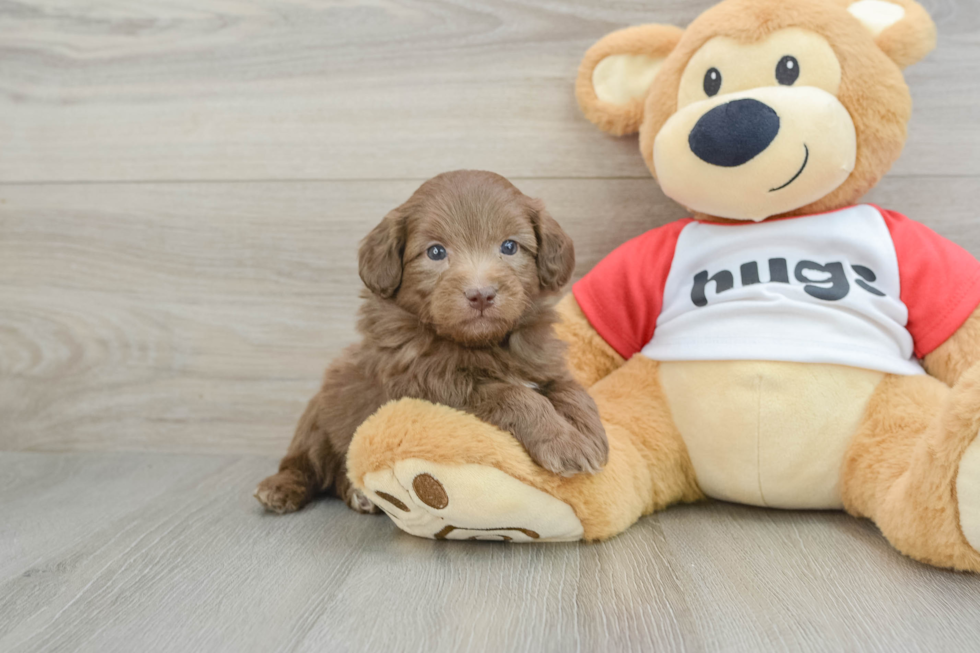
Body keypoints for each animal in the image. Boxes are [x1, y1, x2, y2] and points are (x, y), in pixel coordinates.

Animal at [255, 169, 604, 516]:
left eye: (509, 247)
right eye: (436, 252)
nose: (481, 294)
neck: (481, 344)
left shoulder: (543, 364)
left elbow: (572, 390)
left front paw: (590, 433)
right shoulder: (433, 387)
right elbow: (514, 395)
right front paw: (565, 443)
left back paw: (360, 495)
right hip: (318, 416)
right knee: (304, 462)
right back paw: (280, 488)